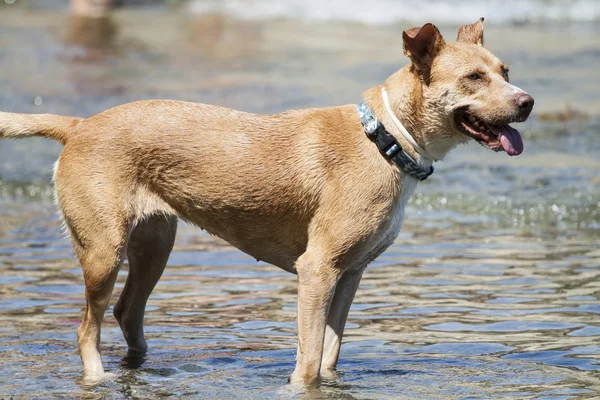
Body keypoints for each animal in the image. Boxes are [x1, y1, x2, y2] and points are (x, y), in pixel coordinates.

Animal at [0, 19, 536, 388]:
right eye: (473, 78)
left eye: (505, 72)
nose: (528, 102)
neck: (384, 138)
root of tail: (79, 125)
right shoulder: (316, 270)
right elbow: (308, 362)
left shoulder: (350, 274)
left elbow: (330, 354)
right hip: (103, 251)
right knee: (86, 329)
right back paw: (100, 377)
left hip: (155, 244)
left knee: (127, 311)